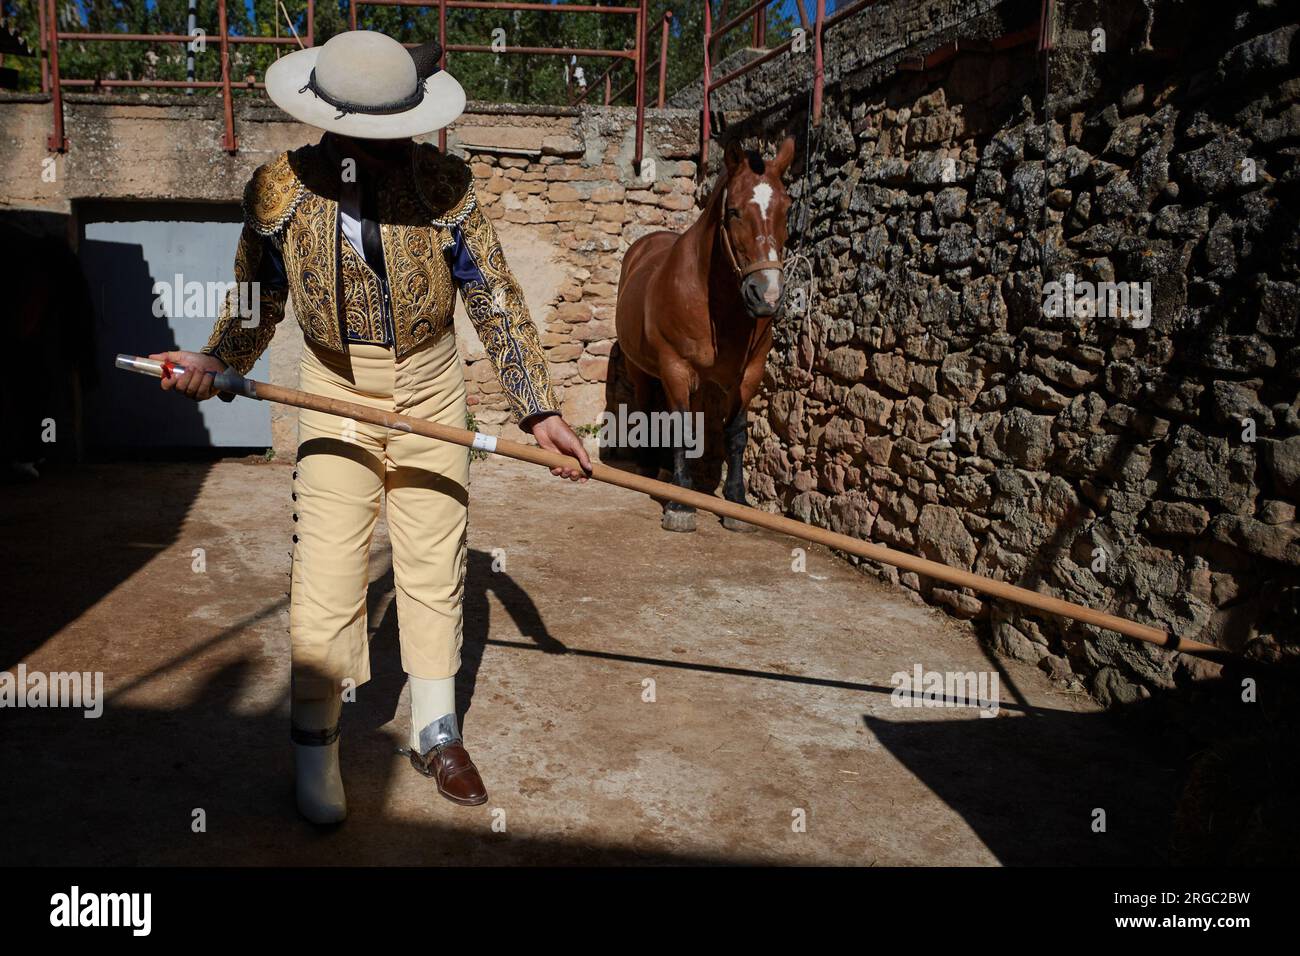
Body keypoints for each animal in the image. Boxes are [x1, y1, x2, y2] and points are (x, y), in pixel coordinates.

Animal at [616, 138, 795, 535]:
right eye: (734, 211)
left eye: (786, 208)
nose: (767, 295)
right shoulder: (674, 367)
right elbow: (680, 428)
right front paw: (681, 503)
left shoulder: (748, 373)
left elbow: (736, 432)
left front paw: (736, 501)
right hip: (642, 369)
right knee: (646, 406)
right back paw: (649, 466)